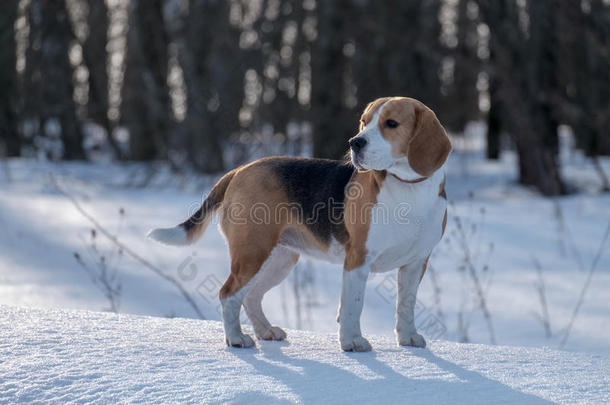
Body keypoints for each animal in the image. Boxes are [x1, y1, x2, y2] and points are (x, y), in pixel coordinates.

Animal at [150, 97, 448, 350]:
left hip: (280, 258)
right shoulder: (358, 259)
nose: (355, 142)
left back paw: (265, 331)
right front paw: (352, 341)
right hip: (252, 253)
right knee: (228, 294)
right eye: (364, 122)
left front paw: (408, 337)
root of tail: (240, 169)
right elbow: (353, 305)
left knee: (251, 296)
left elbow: (406, 304)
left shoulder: (416, 262)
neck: (409, 189)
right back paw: (236, 338)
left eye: (391, 123)